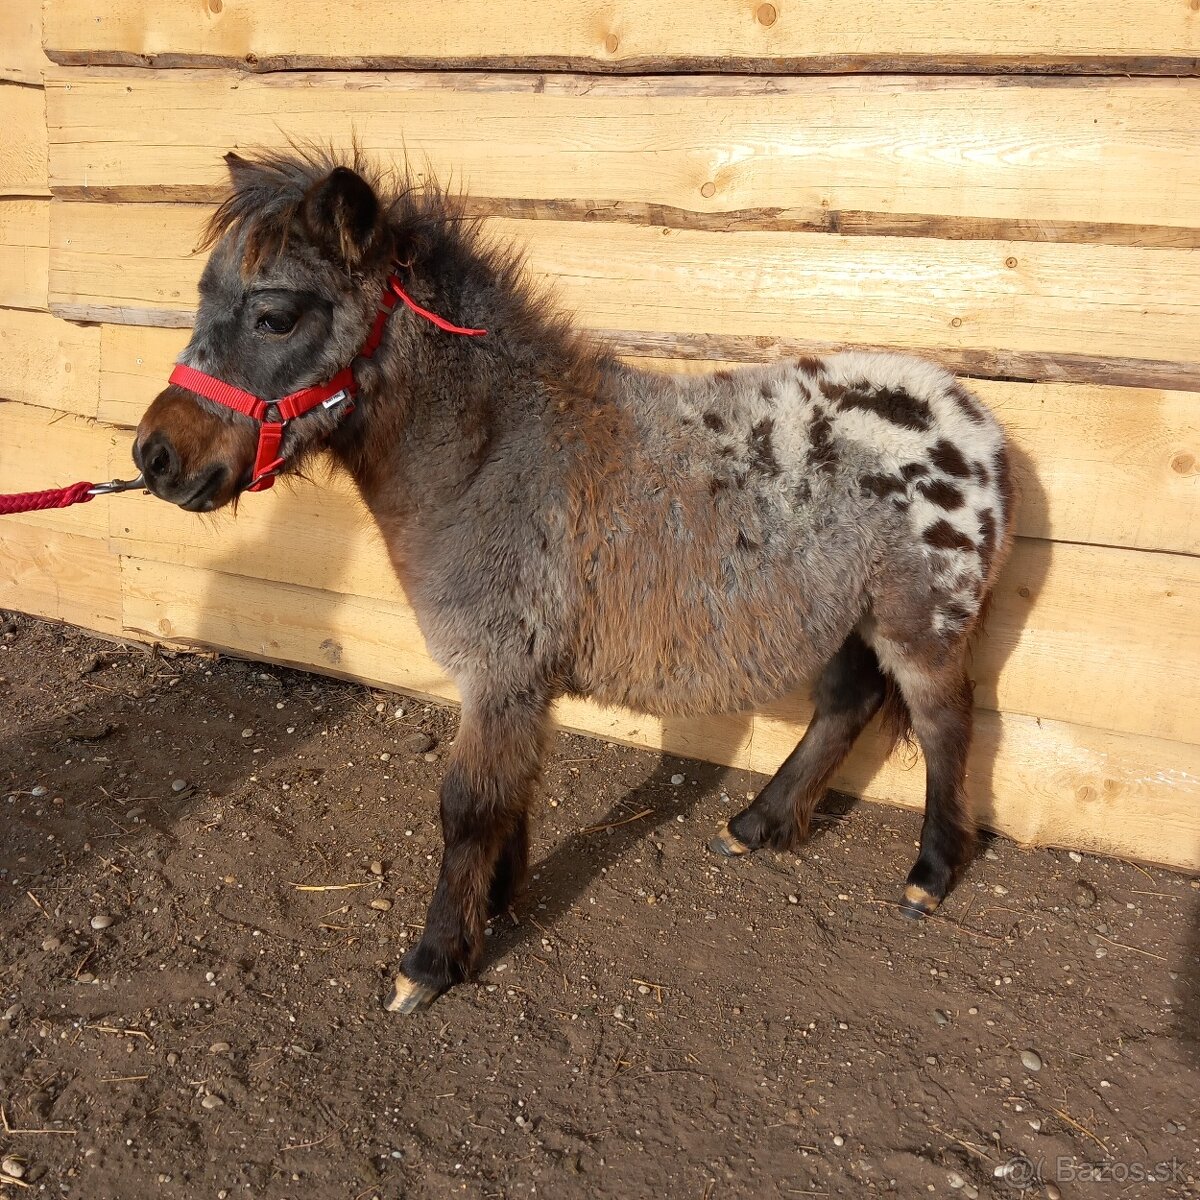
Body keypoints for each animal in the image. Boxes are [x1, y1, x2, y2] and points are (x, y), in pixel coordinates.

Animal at [133, 150, 1012, 1012]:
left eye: (275, 315)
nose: (155, 456)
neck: (494, 458)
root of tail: (970, 420)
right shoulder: (515, 682)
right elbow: (512, 791)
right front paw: (496, 903)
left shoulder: (501, 673)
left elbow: (469, 806)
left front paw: (434, 960)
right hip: (845, 615)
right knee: (846, 705)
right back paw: (757, 825)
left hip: (919, 625)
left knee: (944, 725)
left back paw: (929, 875)